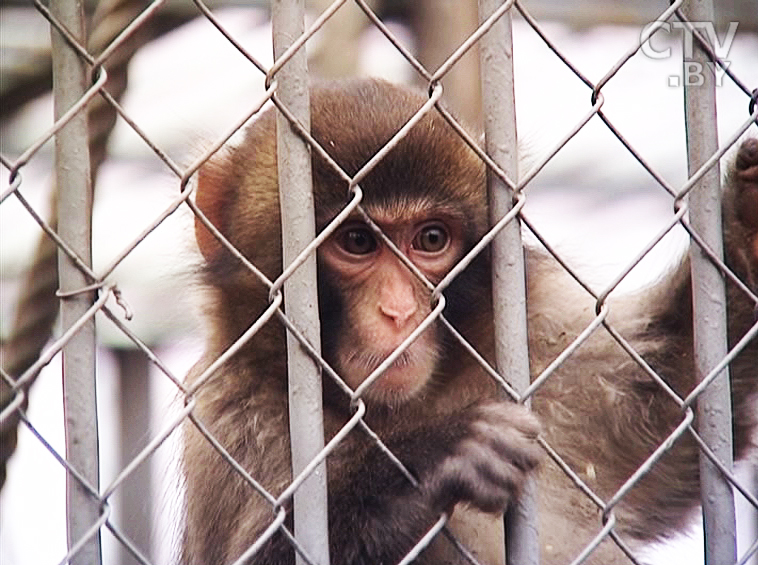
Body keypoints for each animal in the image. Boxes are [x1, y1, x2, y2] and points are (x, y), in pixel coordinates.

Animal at [184, 78, 758, 564]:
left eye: (431, 239)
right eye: (357, 242)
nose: (399, 311)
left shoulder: (541, 342)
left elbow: (668, 424)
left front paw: (745, 225)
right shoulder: (231, 422)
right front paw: (429, 462)